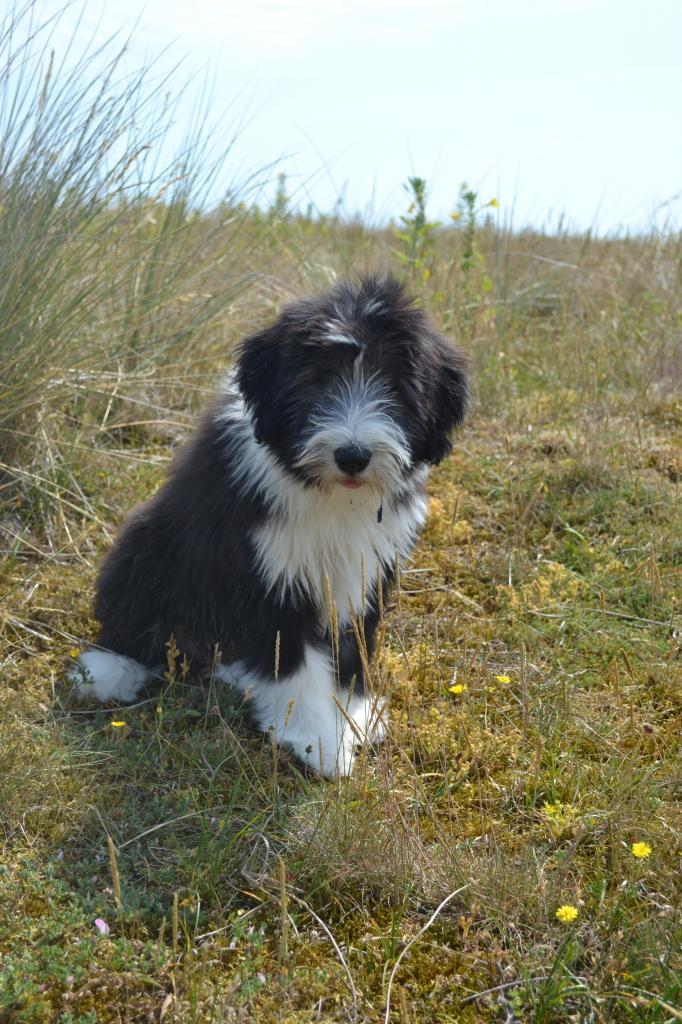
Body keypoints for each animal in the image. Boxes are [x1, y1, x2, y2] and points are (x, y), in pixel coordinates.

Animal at [70, 280, 466, 774]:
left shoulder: (365, 564)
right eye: (315, 381)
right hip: (146, 546)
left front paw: (354, 714)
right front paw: (319, 740)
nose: (352, 455)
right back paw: (108, 671)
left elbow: (353, 644)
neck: (333, 495)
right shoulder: (270, 567)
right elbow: (291, 660)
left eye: (393, 386)